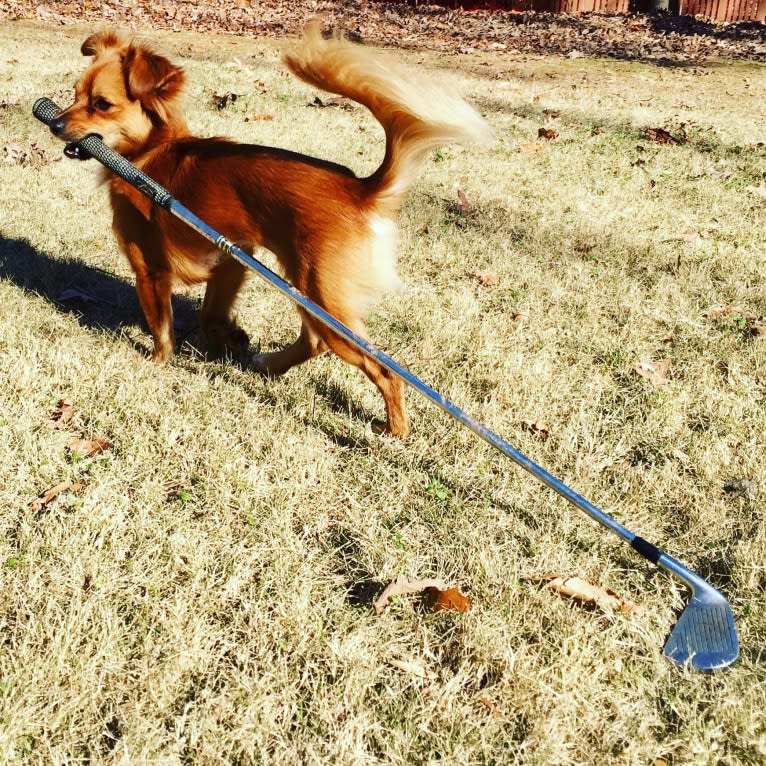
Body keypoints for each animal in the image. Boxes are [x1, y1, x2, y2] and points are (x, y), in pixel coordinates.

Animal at [49, 24, 492, 438]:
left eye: (101, 105)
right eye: (74, 94)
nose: (54, 123)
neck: (148, 155)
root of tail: (361, 189)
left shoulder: (149, 269)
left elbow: (161, 326)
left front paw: (158, 361)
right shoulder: (232, 257)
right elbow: (210, 315)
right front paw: (232, 337)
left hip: (322, 294)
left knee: (379, 368)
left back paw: (393, 429)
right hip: (308, 288)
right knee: (314, 341)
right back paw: (269, 364)